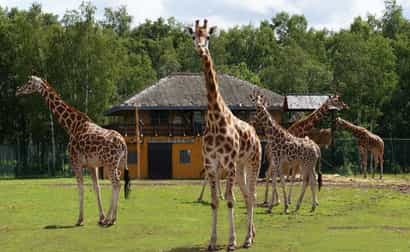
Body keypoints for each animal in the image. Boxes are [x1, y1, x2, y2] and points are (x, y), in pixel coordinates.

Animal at [16, 76, 130, 226]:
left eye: (29, 82)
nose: (18, 90)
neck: (71, 126)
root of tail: (123, 144)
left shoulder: (75, 162)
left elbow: (80, 188)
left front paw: (80, 219)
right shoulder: (92, 165)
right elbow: (96, 188)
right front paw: (100, 217)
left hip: (110, 163)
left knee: (116, 183)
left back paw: (110, 219)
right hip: (119, 163)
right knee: (118, 183)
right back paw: (111, 218)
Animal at [187, 19, 262, 250]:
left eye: (208, 36)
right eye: (193, 35)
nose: (201, 48)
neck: (214, 119)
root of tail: (256, 135)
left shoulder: (227, 164)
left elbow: (230, 200)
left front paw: (231, 241)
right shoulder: (212, 164)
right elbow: (214, 201)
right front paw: (212, 242)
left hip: (252, 162)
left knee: (252, 195)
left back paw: (247, 239)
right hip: (239, 167)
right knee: (247, 195)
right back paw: (251, 234)